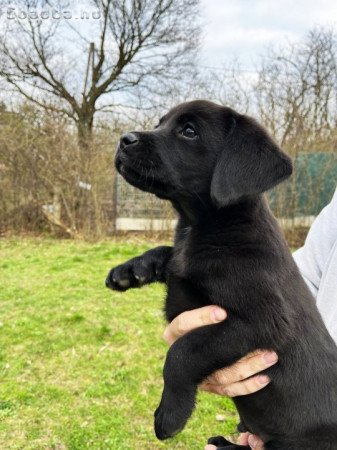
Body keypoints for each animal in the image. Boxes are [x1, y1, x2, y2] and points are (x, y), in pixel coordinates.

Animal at [106, 100, 336, 448]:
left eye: (189, 130)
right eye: (160, 123)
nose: (124, 139)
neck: (203, 227)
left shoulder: (259, 321)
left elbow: (181, 353)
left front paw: (170, 415)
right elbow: (168, 254)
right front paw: (130, 271)